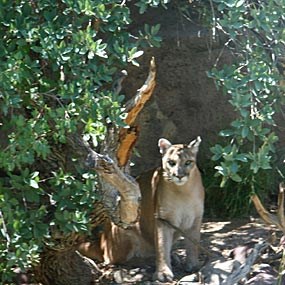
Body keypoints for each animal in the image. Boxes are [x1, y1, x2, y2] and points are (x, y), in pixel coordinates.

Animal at [77, 136, 203, 280]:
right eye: (171, 162)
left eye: (188, 162)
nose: (179, 175)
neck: (183, 191)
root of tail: (102, 240)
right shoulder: (163, 220)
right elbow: (162, 245)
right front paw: (163, 273)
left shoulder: (195, 219)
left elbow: (194, 244)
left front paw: (193, 264)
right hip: (126, 228)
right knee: (114, 259)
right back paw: (151, 260)